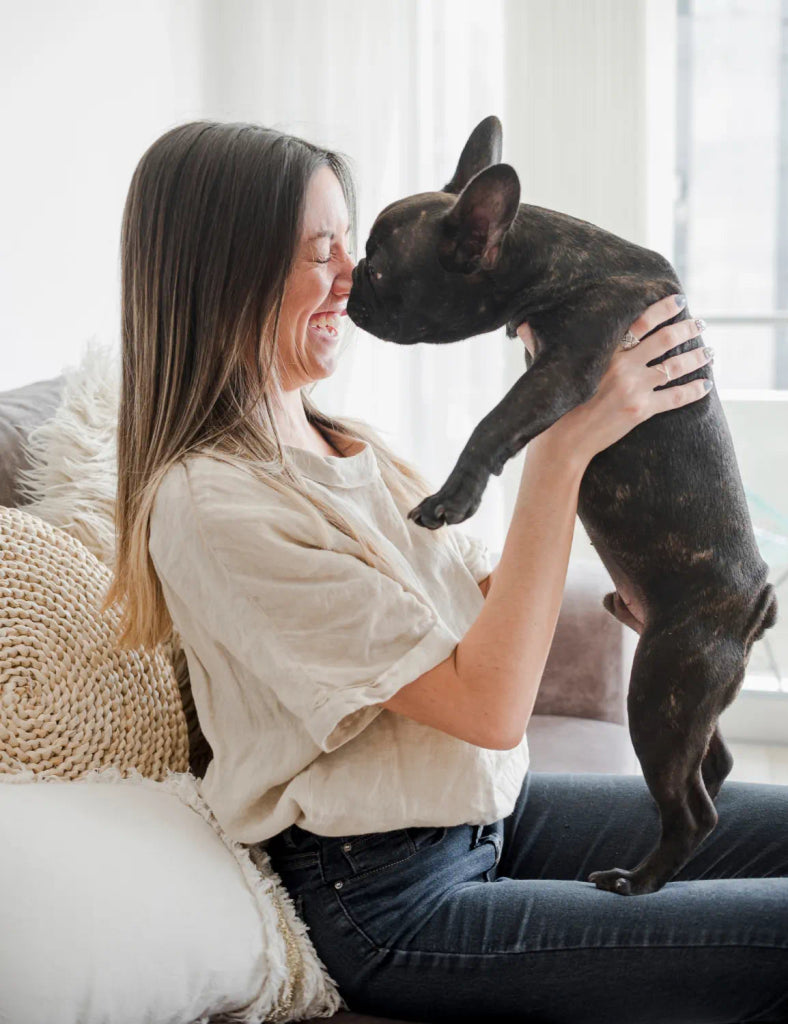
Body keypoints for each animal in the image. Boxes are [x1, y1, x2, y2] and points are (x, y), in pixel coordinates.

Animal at [347, 116, 777, 892]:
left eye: (382, 270)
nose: (349, 285)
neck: (544, 255)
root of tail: (756, 604)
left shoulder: (565, 369)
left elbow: (493, 423)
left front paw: (450, 499)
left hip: (662, 686)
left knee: (692, 807)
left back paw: (638, 880)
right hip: (681, 688)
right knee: (713, 761)